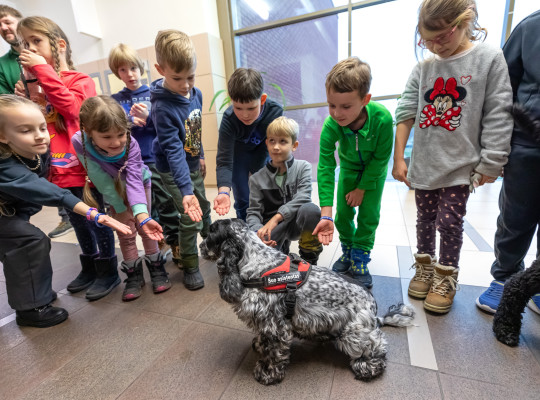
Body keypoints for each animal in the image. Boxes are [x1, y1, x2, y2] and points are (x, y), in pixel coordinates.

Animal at [200, 219, 415, 385]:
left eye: (210, 233)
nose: (200, 247)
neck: (256, 263)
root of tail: (373, 307)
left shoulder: (276, 326)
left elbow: (274, 353)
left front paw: (267, 373)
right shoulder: (263, 322)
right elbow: (263, 340)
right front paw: (259, 345)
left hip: (354, 334)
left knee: (377, 347)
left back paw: (367, 367)